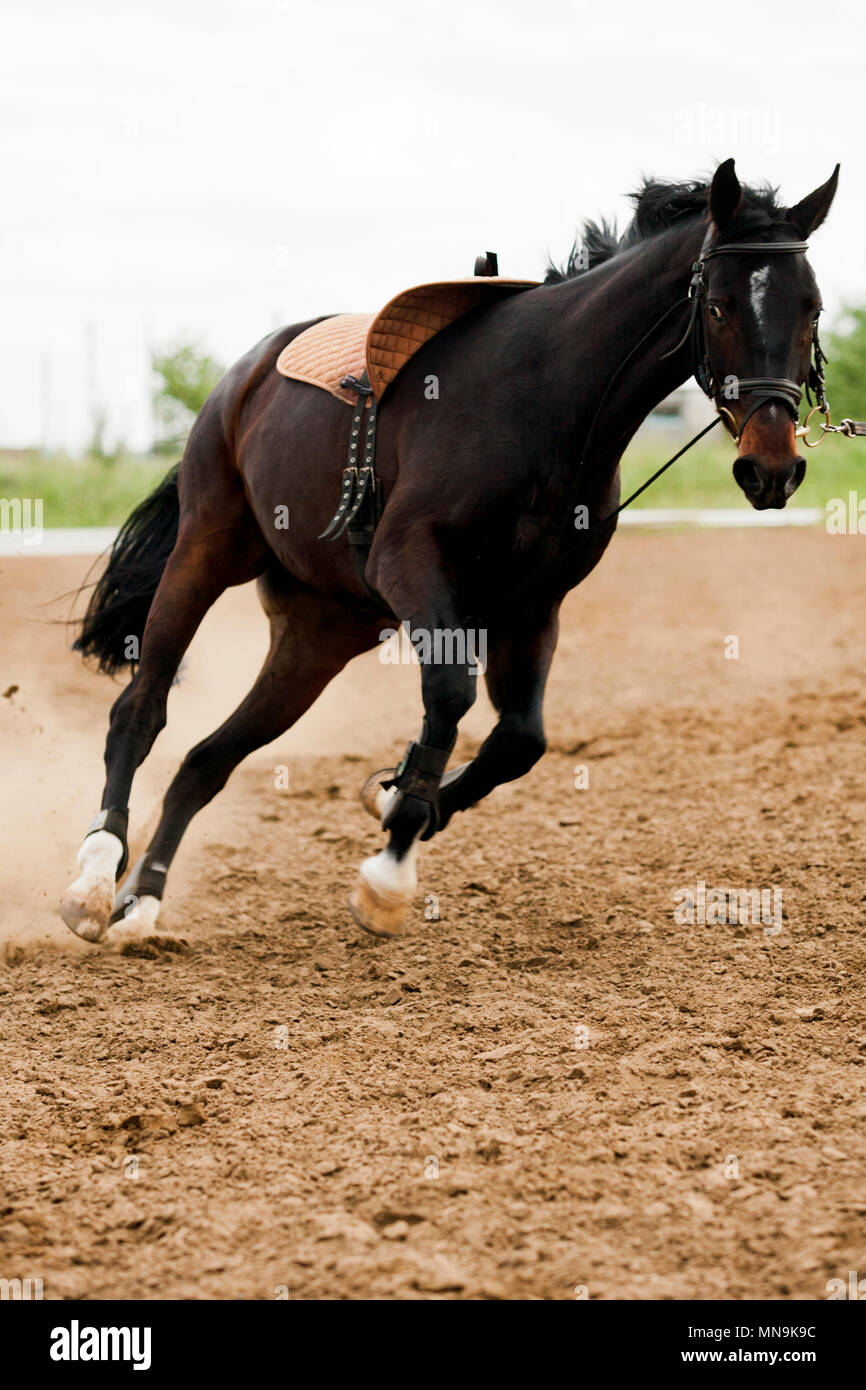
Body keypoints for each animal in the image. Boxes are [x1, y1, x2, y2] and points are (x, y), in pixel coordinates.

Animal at [61, 157, 838, 942]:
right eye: (720, 307)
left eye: (812, 308)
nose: (772, 468)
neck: (552, 401)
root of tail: (241, 377)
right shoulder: (410, 561)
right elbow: (450, 695)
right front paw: (389, 866)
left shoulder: (533, 604)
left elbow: (520, 738)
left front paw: (400, 801)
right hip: (207, 550)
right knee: (140, 710)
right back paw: (95, 879)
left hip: (321, 635)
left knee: (205, 759)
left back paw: (141, 900)